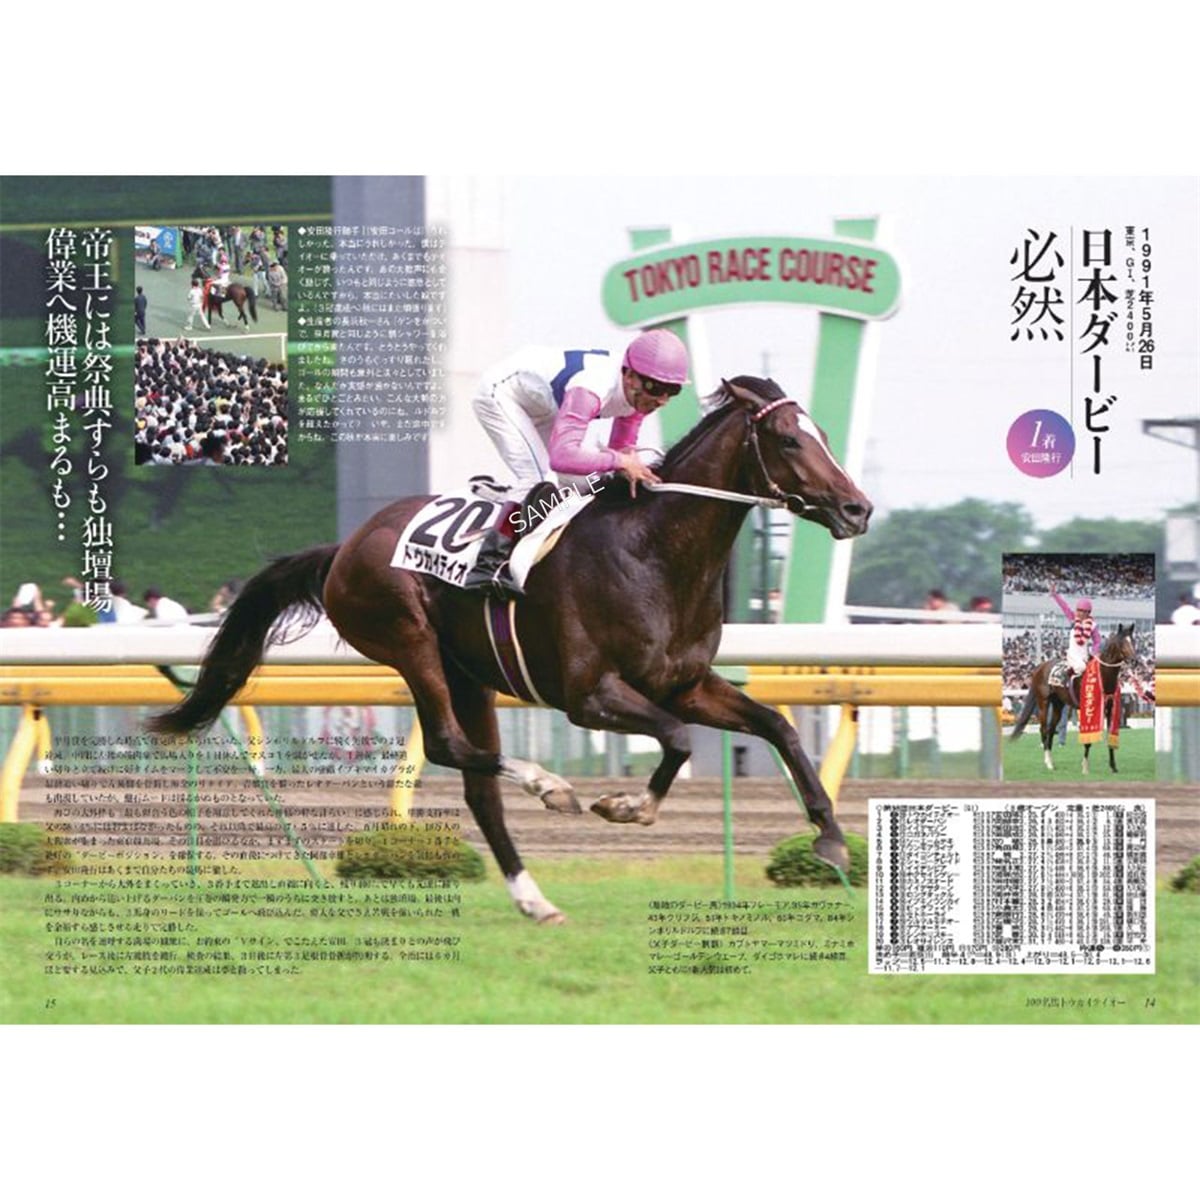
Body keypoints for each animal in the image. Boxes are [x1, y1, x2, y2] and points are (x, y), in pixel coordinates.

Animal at [147, 376, 873, 923]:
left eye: (822, 435)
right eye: (788, 438)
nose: (857, 508)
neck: (655, 552)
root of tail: (344, 546)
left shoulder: (686, 684)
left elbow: (777, 726)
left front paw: (831, 843)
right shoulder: (588, 695)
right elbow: (675, 739)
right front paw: (628, 806)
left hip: (469, 675)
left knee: (479, 788)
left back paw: (534, 898)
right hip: (409, 641)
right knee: (449, 745)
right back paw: (549, 787)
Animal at [1009, 623, 1135, 773]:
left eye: (1133, 640)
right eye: (1122, 642)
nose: (1134, 660)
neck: (1103, 676)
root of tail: (1041, 666)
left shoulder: (1110, 709)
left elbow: (1110, 736)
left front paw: (1113, 766)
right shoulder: (1087, 709)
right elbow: (1087, 740)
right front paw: (1085, 766)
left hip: (1058, 704)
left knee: (1051, 729)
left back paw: (1051, 761)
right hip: (1043, 702)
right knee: (1044, 729)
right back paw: (1048, 763)